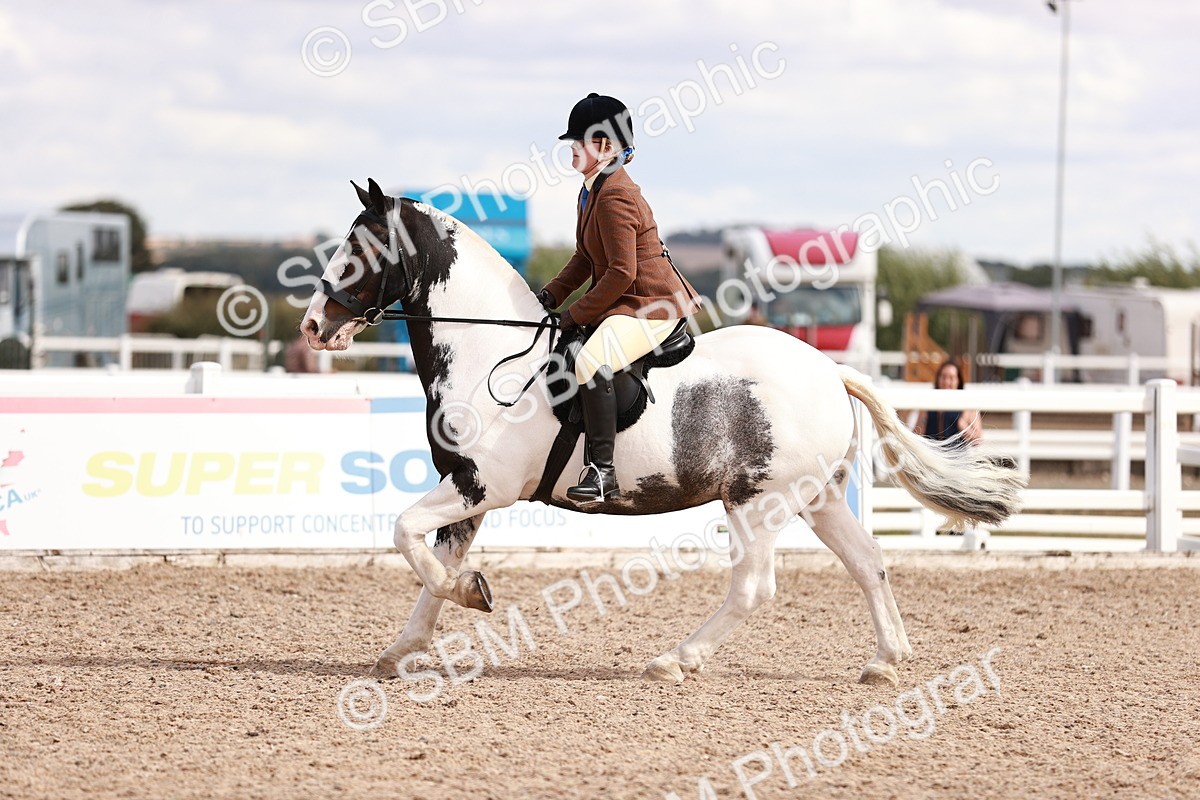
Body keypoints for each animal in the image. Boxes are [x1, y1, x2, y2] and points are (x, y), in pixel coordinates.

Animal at [300, 179, 1024, 686]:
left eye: (360, 250)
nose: (312, 325)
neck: (488, 353)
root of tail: (829, 369)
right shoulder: (467, 491)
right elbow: (430, 565)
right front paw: (405, 647)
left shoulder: (483, 484)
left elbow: (404, 535)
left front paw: (469, 594)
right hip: (816, 498)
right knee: (869, 561)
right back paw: (885, 661)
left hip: (758, 503)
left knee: (755, 587)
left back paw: (677, 660)